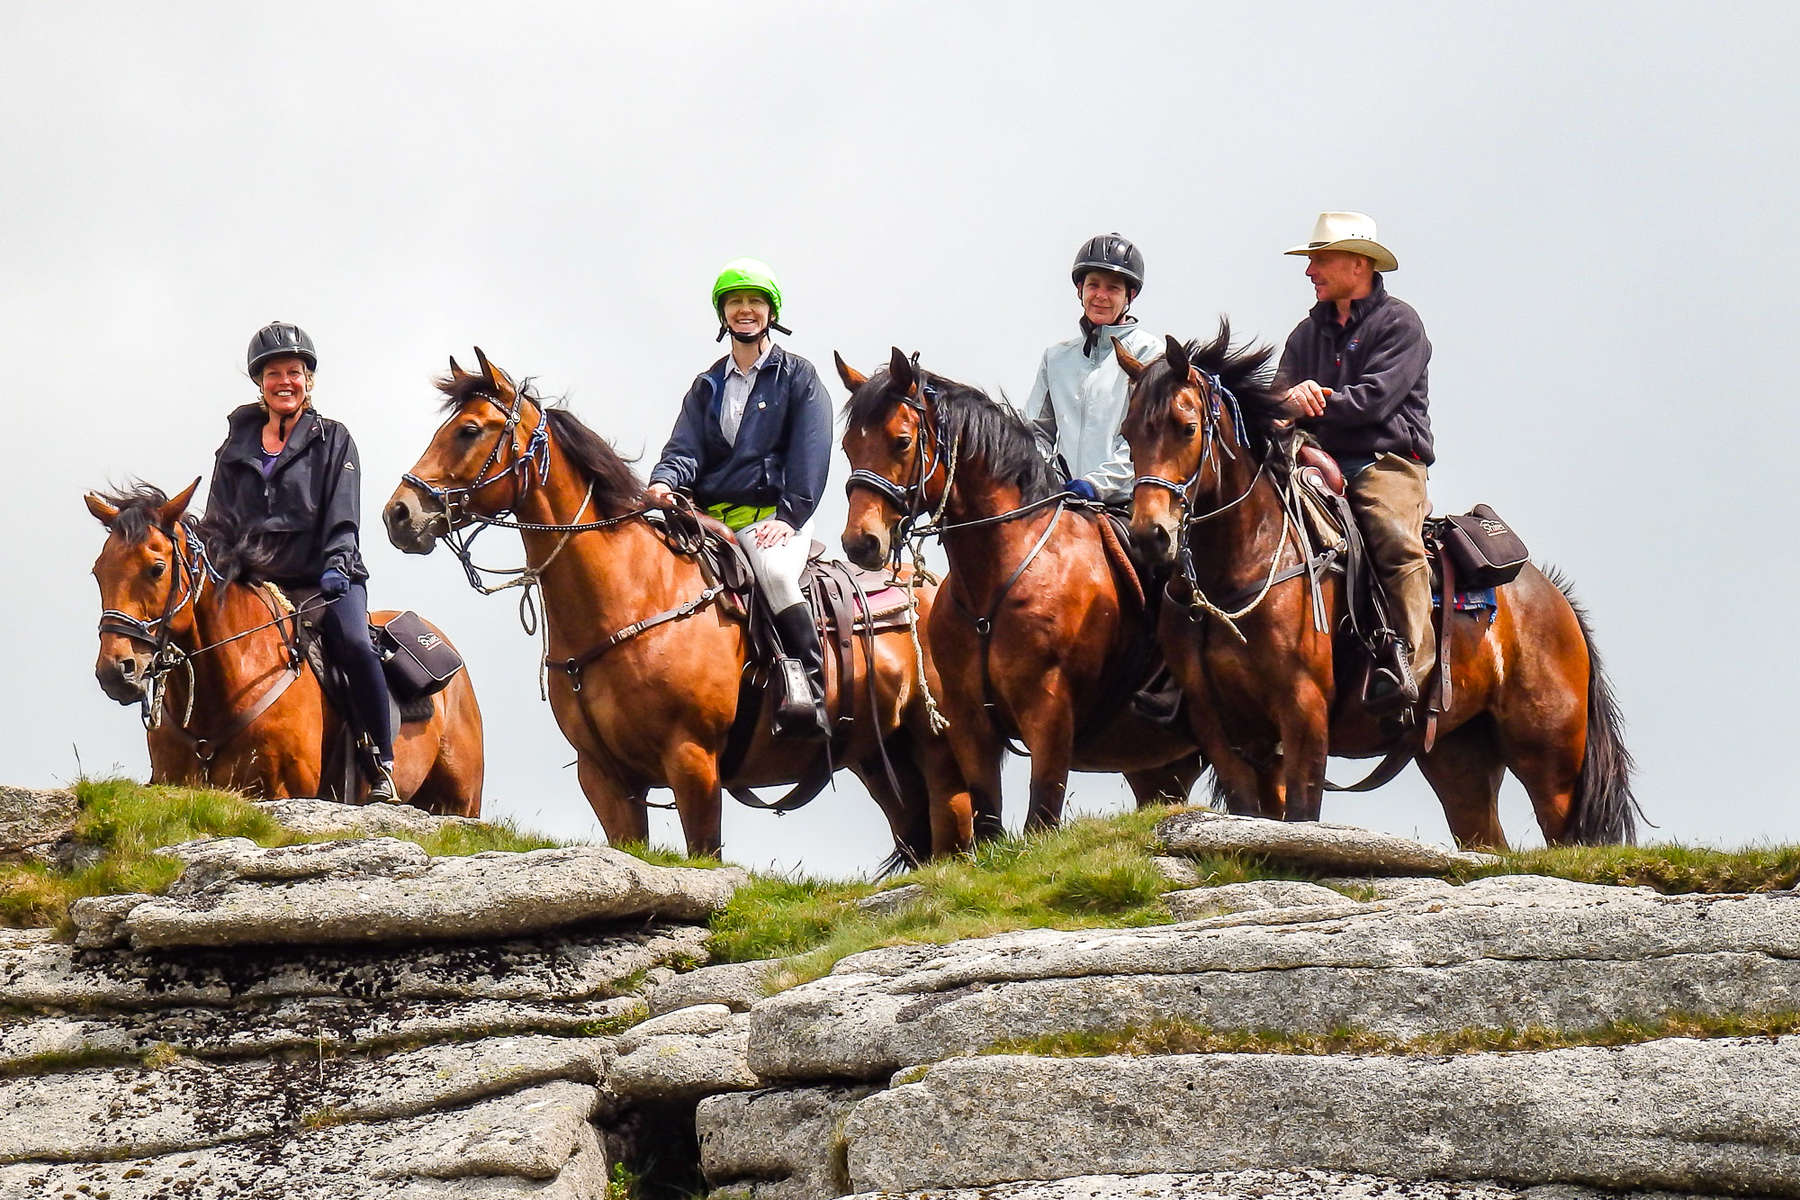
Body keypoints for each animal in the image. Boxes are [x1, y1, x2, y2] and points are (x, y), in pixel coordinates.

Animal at [383, 347, 972, 863]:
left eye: (469, 429)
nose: (398, 513)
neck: (630, 600)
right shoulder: (605, 778)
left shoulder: (692, 763)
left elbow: (704, 852)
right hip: (880, 761)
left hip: (938, 753)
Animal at [835, 345, 1202, 834]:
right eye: (848, 446)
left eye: (901, 441)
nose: (861, 542)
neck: (997, 581)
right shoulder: (970, 723)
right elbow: (989, 822)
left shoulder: (1048, 715)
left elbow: (1040, 818)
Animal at [1101, 323, 1641, 849]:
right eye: (1127, 434)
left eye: (1187, 428)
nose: (1151, 535)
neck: (1243, 563)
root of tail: (1556, 600)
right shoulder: (1221, 725)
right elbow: (1250, 813)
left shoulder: (1302, 713)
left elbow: (1302, 816)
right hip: (1457, 755)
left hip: (1551, 764)